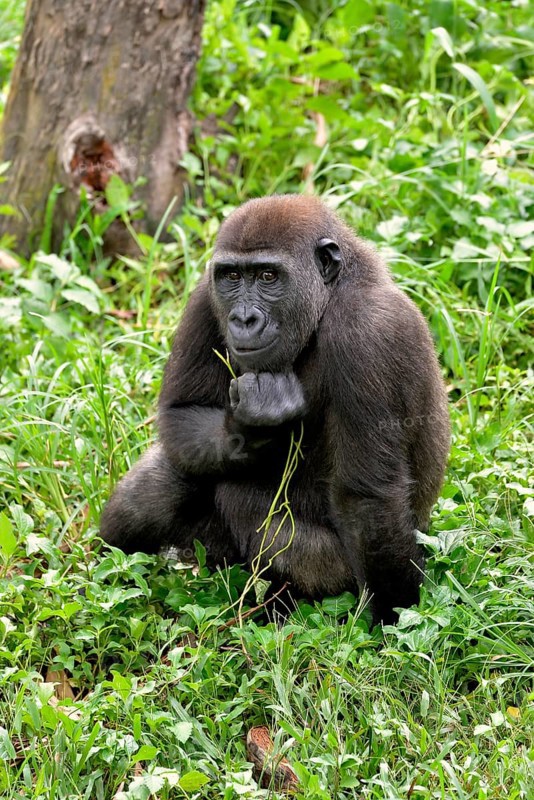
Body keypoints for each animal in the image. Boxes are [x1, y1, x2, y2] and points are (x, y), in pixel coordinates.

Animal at [100, 194, 450, 625]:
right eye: (232, 277)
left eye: (268, 276)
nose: (243, 318)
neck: (331, 293)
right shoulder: (204, 296)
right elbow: (181, 414)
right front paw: (254, 424)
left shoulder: (368, 333)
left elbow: (369, 499)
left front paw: (392, 617)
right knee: (166, 481)